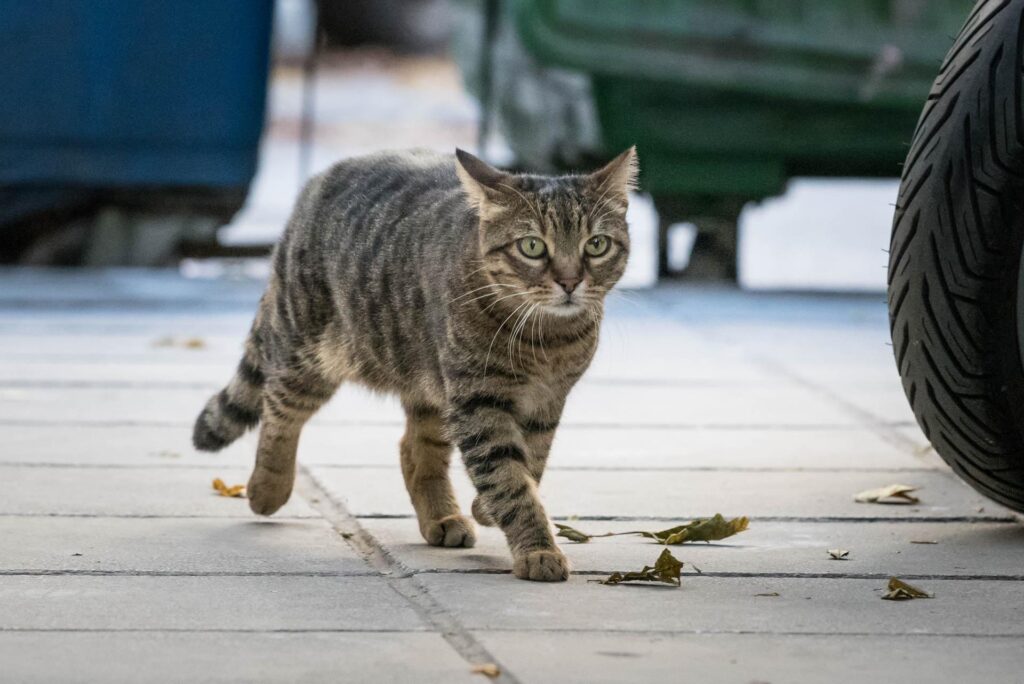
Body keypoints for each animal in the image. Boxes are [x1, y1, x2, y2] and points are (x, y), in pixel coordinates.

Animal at [192, 147, 634, 581]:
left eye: (596, 244)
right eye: (532, 247)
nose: (570, 282)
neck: (546, 339)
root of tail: (321, 178)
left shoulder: (546, 401)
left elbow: (530, 465)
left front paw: (488, 510)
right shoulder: (478, 400)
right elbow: (508, 479)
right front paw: (538, 549)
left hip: (428, 379)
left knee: (414, 449)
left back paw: (443, 517)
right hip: (310, 350)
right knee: (278, 410)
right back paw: (267, 487)